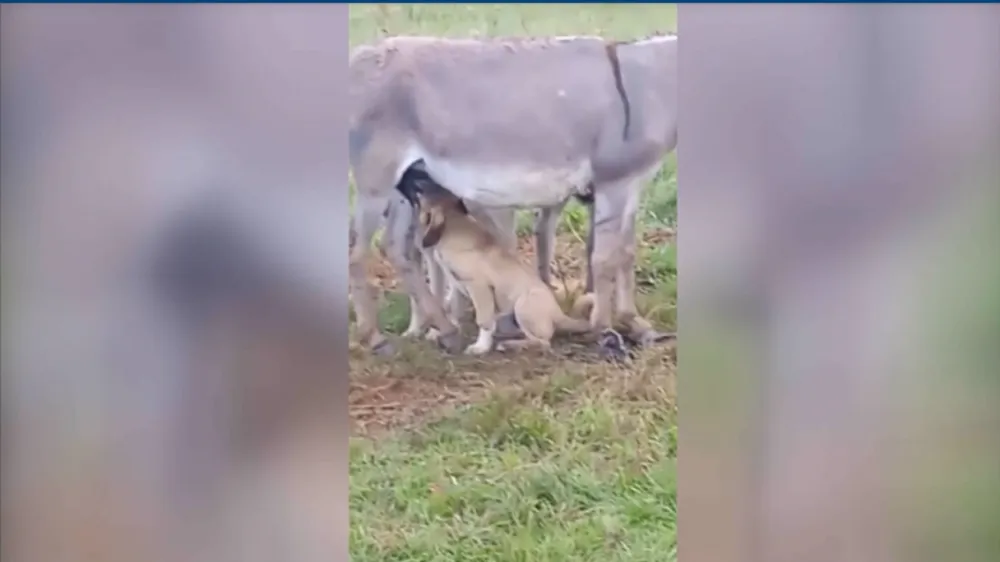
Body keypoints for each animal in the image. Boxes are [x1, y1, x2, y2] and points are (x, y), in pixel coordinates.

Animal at [416, 190, 592, 352]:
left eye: (422, 206)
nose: (418, 191)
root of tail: (559, 315)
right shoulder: (457, 286)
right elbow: (454, 308)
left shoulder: (479, 288)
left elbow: (484, 321)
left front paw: (480, 347)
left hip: (523, 305)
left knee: (543, 342)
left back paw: (508, 344)